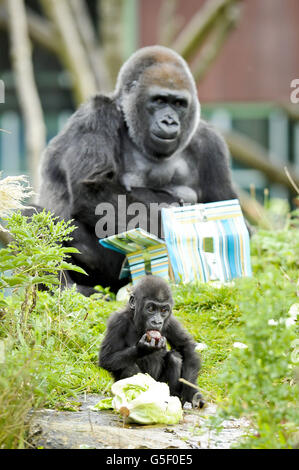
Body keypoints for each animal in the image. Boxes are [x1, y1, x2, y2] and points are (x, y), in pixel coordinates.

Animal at [37, 44, 239, 294]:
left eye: (179, 104)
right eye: (159, 100)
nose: (169, 121)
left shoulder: (211, 144)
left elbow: (224, 202)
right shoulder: (96, 113)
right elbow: (93, 190)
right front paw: (170, 232)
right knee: (34, 215)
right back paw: (71, 289)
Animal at [99, 276, 205, 408]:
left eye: (164, 310)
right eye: (150, 308)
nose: (157, 322)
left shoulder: (171, 321)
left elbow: (186, 347)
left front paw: (192, 393)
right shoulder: (117, 321)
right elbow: (106, 358)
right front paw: (143, 348)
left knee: (174, 357)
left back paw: (171, 398)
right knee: (127, 367)